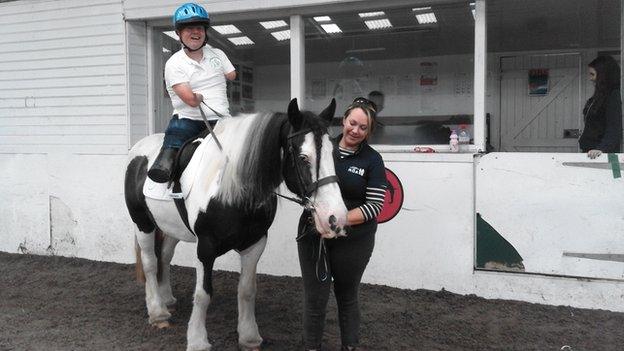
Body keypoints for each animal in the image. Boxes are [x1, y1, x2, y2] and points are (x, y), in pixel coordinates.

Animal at [122, 99, 346, 351]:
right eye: (303, 157)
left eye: (333, 154)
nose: (336, 217)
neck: (230, 188)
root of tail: (139, 149)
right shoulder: (205, 248)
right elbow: (203, 294)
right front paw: (198, 340)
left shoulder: (255, 243)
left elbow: (247, 290)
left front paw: (249, 336)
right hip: (142, 223)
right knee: (150, 263)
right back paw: (157, 311)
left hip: (171, 227)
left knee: (165, 257)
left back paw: (167, 299)